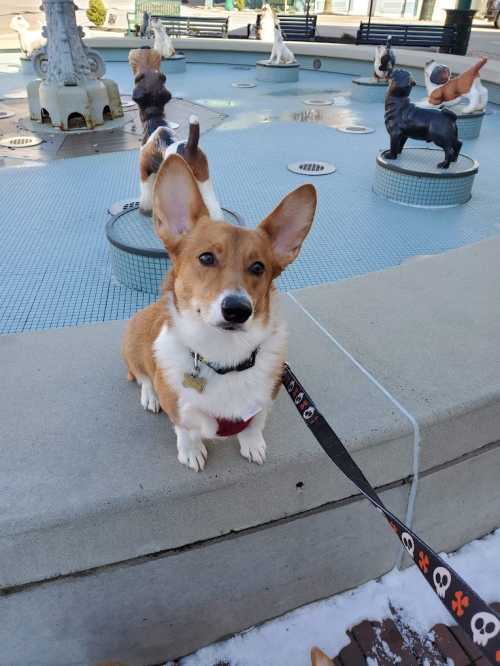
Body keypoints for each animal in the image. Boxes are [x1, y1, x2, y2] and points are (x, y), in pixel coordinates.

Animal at [122, 154, 316, 470]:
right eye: (206, 258)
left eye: (258, 267)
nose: (237, 309)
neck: (226, 357)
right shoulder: (180, 408)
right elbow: (186, 430)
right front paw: (191, 452)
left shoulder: (265, 400)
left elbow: (254, 425)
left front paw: (253, 445)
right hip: (134, 345)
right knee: (143, 376)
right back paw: (150, 396)